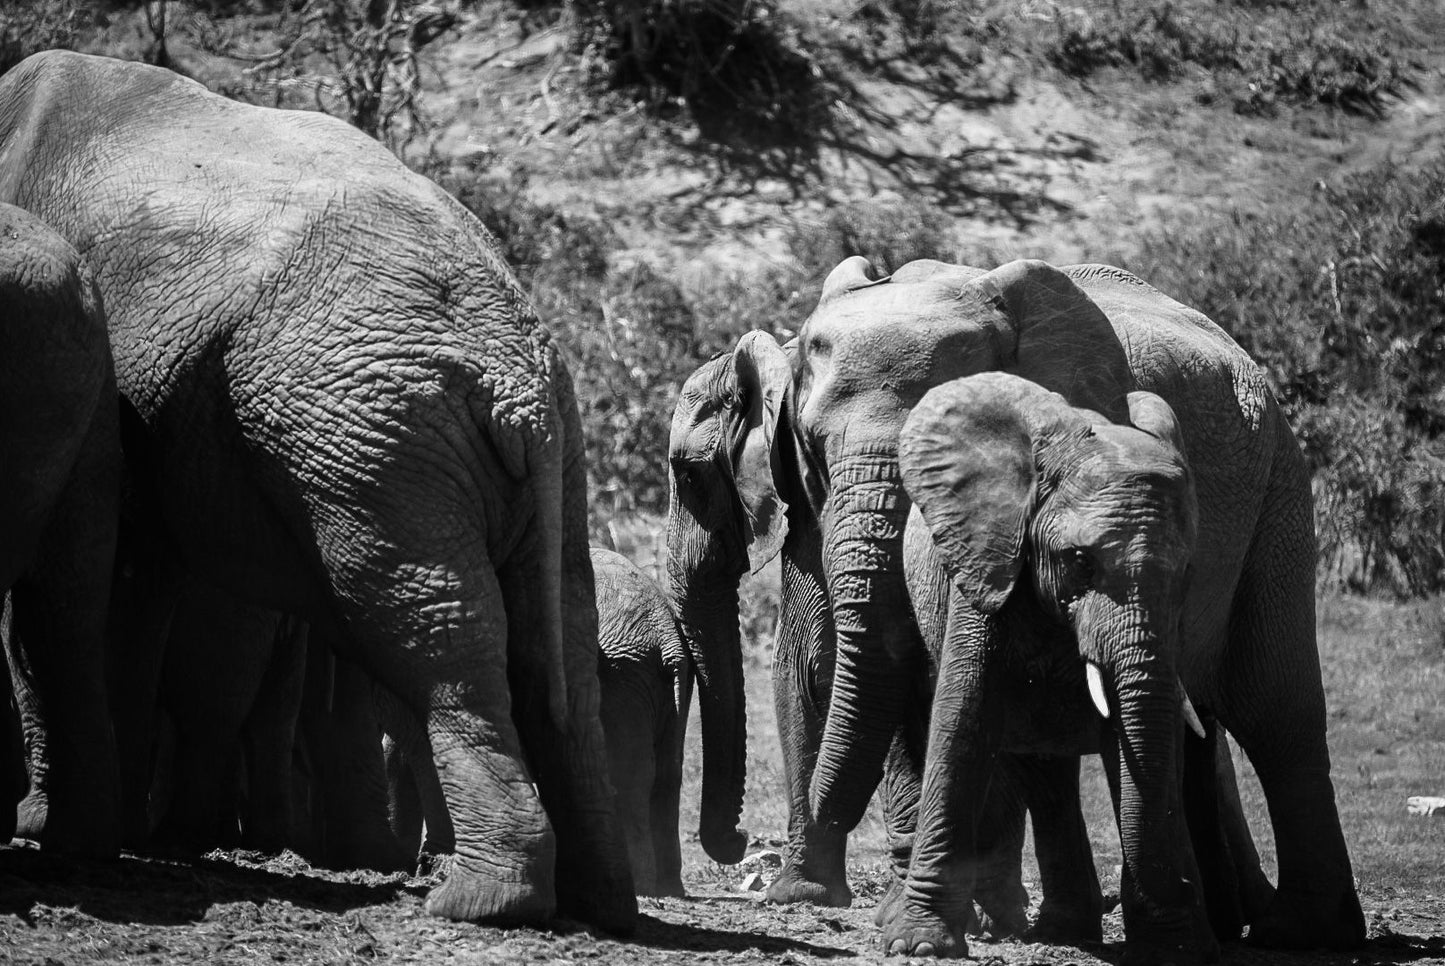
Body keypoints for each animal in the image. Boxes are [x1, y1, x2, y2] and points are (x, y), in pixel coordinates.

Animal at [0, 50, 632, 924]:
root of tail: (514, 376)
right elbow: (135, 583)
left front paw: (53, 831)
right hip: (532, 452)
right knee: (555, 643)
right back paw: (600, 906)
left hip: (368, 434)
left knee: (433, 632)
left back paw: (478, 904)